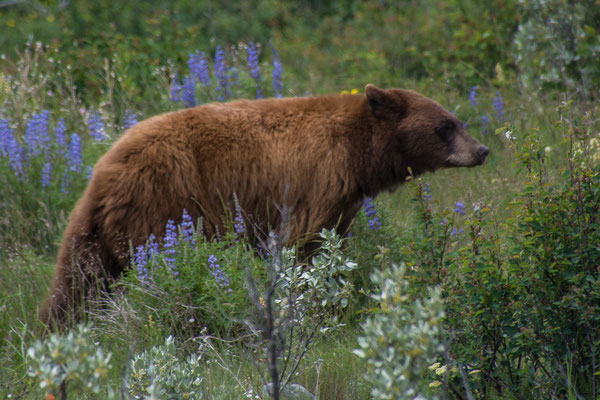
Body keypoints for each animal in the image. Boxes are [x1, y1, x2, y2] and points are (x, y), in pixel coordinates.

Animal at [41, 83, 488, 324]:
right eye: (445, 125)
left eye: (457, 120)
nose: (481, 150)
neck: (358, 154)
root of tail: (103, 172)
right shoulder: (316, 186)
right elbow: (306, 248)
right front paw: (316, 305)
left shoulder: (343, 201)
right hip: (161, 206)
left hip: (90, 231)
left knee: (76, 284)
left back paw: (56, 328)